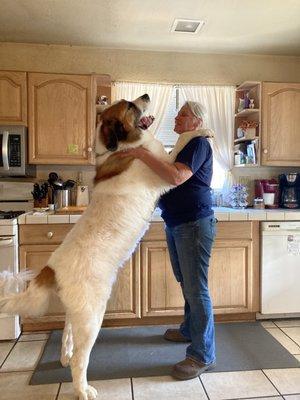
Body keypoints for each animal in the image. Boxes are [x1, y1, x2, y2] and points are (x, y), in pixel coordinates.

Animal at [0, 94, 216, 400]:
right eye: (130, 106)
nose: (145, 96)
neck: (123, 148)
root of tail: (51, 267)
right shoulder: (165, 168)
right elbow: (181, 144)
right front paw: (203, 131)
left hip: (76, 311)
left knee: (67, 334)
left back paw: (64, 356)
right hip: (93, 315)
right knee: (81, 358)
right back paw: (83, 389)